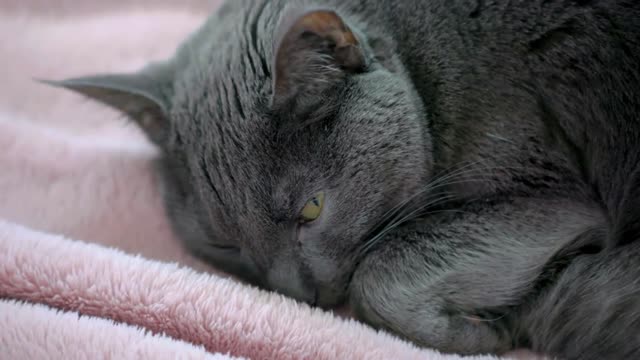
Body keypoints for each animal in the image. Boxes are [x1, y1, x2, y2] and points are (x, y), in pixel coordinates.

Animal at [45, 1, 640, 358]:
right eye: (224, 244)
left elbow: (378, 274)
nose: (298, 294)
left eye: (311, 209)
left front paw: (483, 334)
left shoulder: (551, 195)